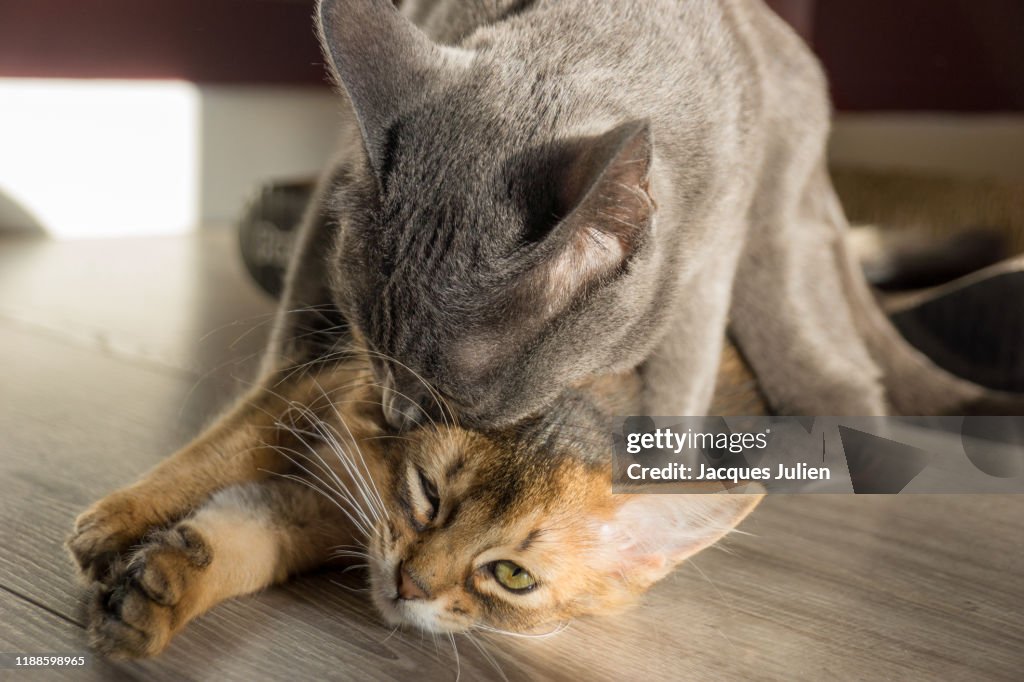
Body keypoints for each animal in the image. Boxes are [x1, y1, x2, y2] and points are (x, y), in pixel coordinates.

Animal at [270, 0, 1015, 425]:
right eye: (368, 337)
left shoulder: (706, 264)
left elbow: (678, 381)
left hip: (777, 245)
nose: (396, 413)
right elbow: (286, 338)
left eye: (459, 398)